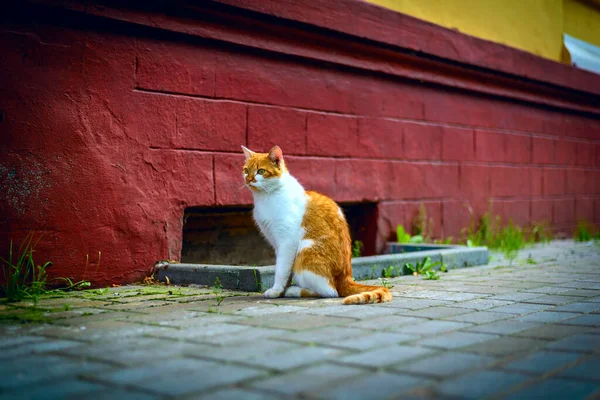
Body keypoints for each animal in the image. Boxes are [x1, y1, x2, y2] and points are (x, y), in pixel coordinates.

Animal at [241, 145, 392, 304]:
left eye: (260, 171)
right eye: (246, 170)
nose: (249, 179)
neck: (266, 197)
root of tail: (346, 278)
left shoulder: (288, 242)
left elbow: (281, 270)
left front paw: (277, 291)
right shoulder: (277, 244)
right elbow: (286, 270)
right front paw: (281, 290)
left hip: (306, 249)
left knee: (330, 292)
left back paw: (294, 290)